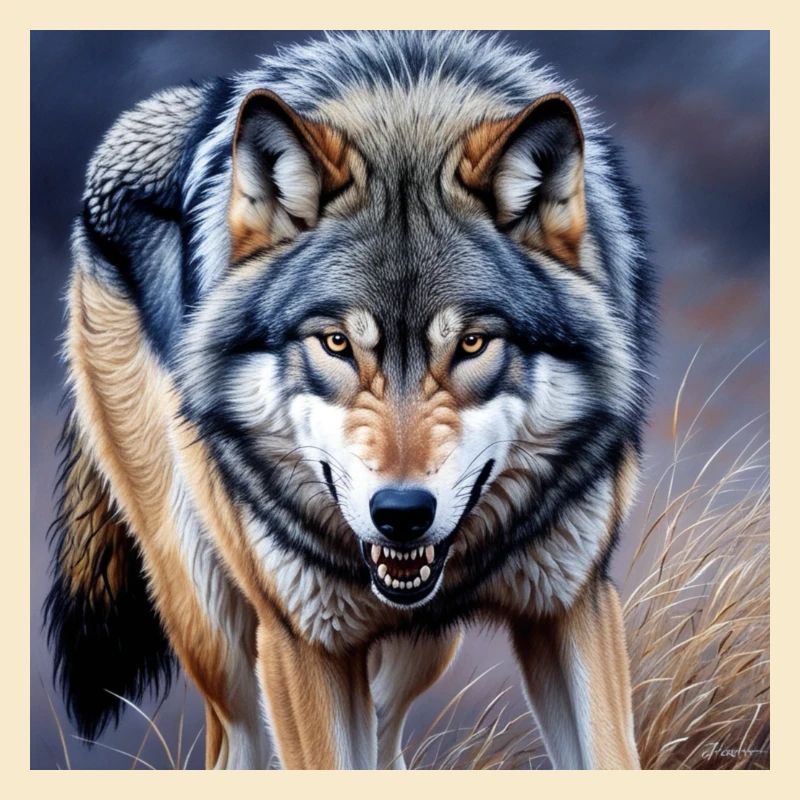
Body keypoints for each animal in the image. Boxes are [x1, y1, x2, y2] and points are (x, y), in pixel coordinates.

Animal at [45, 31, 654, 769]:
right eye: (336, 343)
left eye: (473, 343)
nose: (401, 515)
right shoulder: (304, 641)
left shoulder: (571, 605)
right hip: (216, 629)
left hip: (422, 647)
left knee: (387, 735)